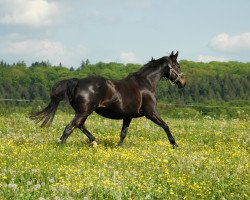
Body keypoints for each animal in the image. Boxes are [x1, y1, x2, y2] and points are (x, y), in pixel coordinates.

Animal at [30, 51, 187, 148]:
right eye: (178, 66)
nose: (183, 82)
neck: (145, 83)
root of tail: (78, 82)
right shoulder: (151, 113)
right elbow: (166, 126)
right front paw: (175, 145)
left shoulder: (128, 116)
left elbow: (123, 133)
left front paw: (119, 148)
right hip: (84, 111)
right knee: (70, 127)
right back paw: (61, 146)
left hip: (83, 112)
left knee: (79, 125)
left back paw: (94, 142)